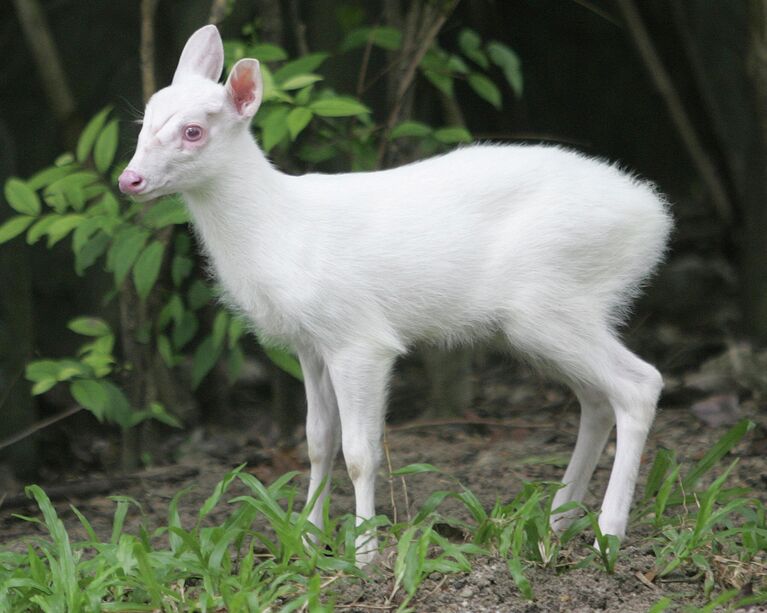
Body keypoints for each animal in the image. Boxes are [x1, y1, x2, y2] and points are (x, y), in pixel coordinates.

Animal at [118, 27, 672, 564]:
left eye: (193, 131)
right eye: (143, 121)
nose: (129, 179)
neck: (279, 229)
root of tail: (656, 218)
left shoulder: (359, 336)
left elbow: (360, 452)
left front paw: (363, 554)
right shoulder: (310, 343)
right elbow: (317, 441)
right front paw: (307, 544)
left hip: (552, 300)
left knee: (639, 384)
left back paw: (608, 534)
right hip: (550, 317)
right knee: (596, 398)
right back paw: (558, 522)